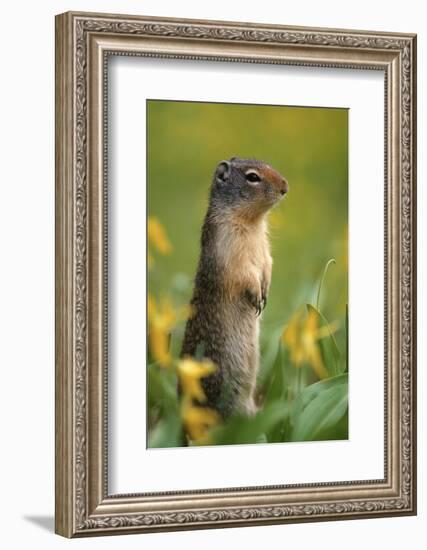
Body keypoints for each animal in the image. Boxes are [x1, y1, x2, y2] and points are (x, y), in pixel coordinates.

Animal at [181, 158, 288, 418]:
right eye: (252, 177)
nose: (285, 187)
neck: (252, 223)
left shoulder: (264, 248)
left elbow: (268, 263)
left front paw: (265, 291)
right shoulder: (229, 247)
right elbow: (244, 274)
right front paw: (257, 295)